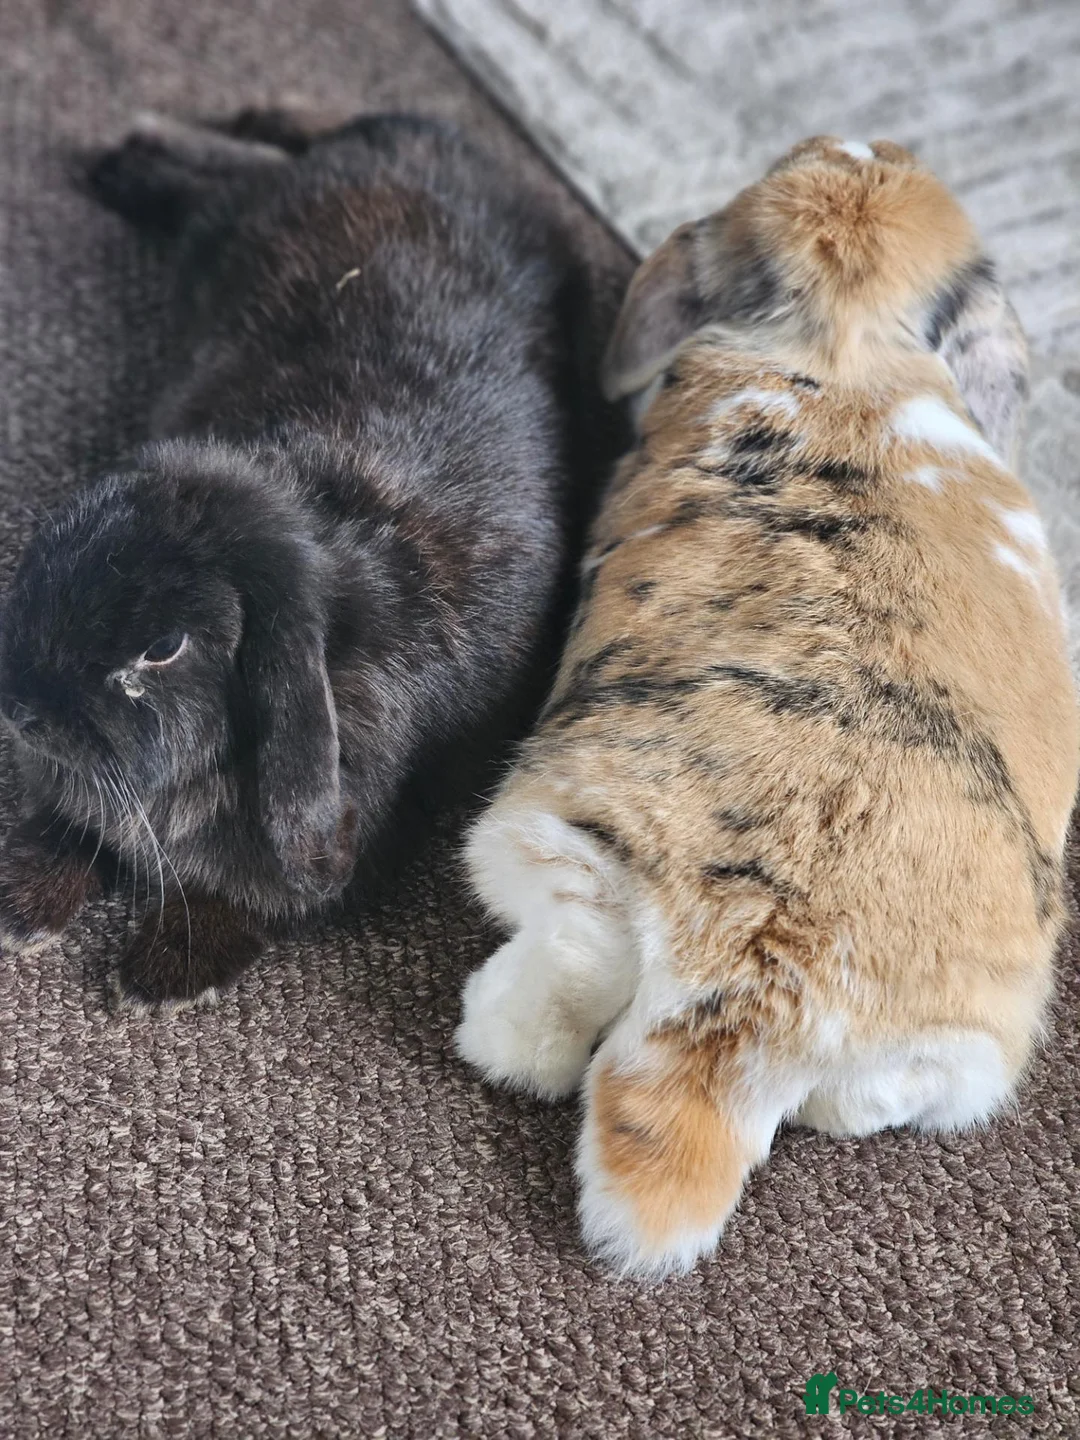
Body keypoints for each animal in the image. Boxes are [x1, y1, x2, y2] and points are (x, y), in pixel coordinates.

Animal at [0, 106, 600, 1010]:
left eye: (163, 646)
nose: (19, 709)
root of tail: (444, 140)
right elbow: (67, 825)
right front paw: (23, 905)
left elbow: (251, 901)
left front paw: (167, 973)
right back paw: (131, 159)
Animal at [455, 136, 1080, 1277]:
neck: (846, 349)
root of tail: (756, 981)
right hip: (955, 1046)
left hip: (555, 843)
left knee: (566, 978)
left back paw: (492, 1034)